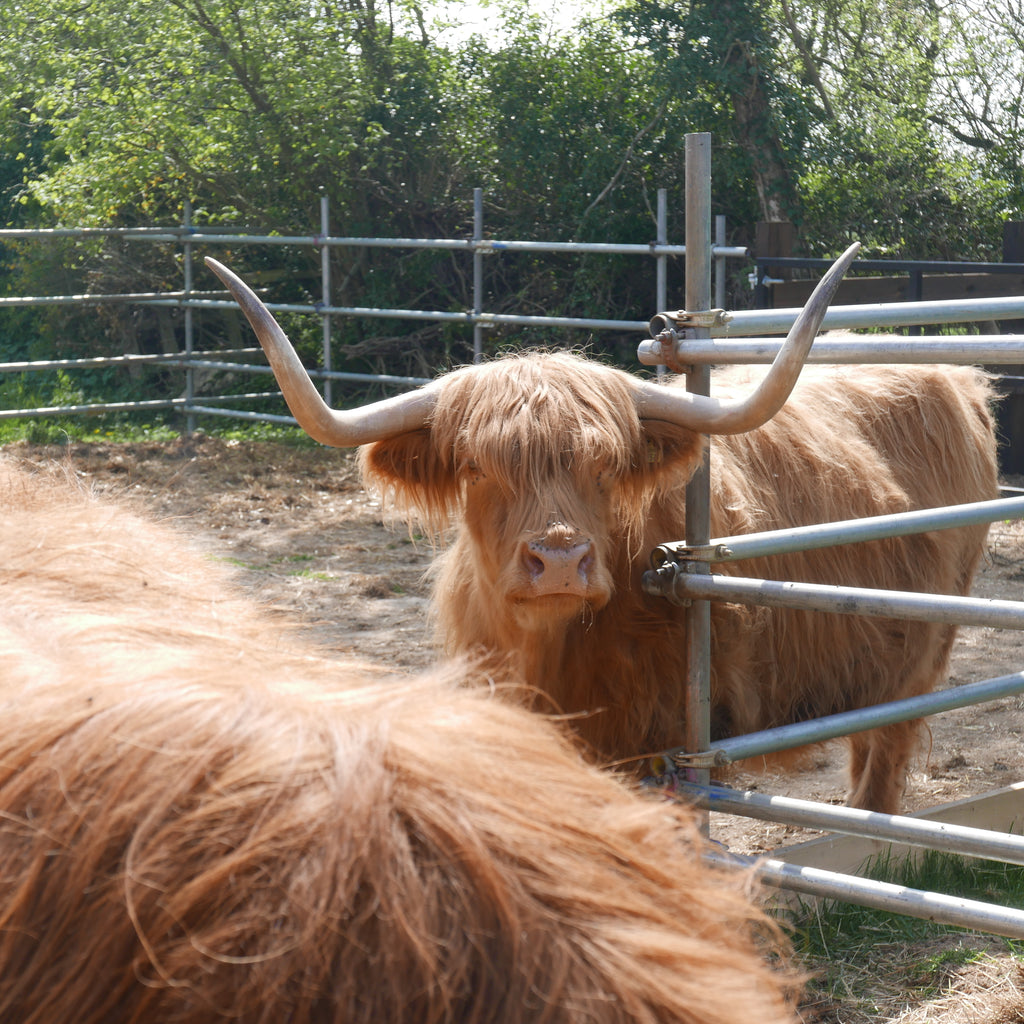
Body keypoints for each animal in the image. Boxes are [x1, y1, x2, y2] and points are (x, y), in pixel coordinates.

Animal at [205, 251, 999, 811]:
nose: (559, 560)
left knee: (885, 758)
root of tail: (952, 378)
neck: (550, 659)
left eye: (606, 464)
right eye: (476, 467)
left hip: (926, 650)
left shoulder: (659, 753)